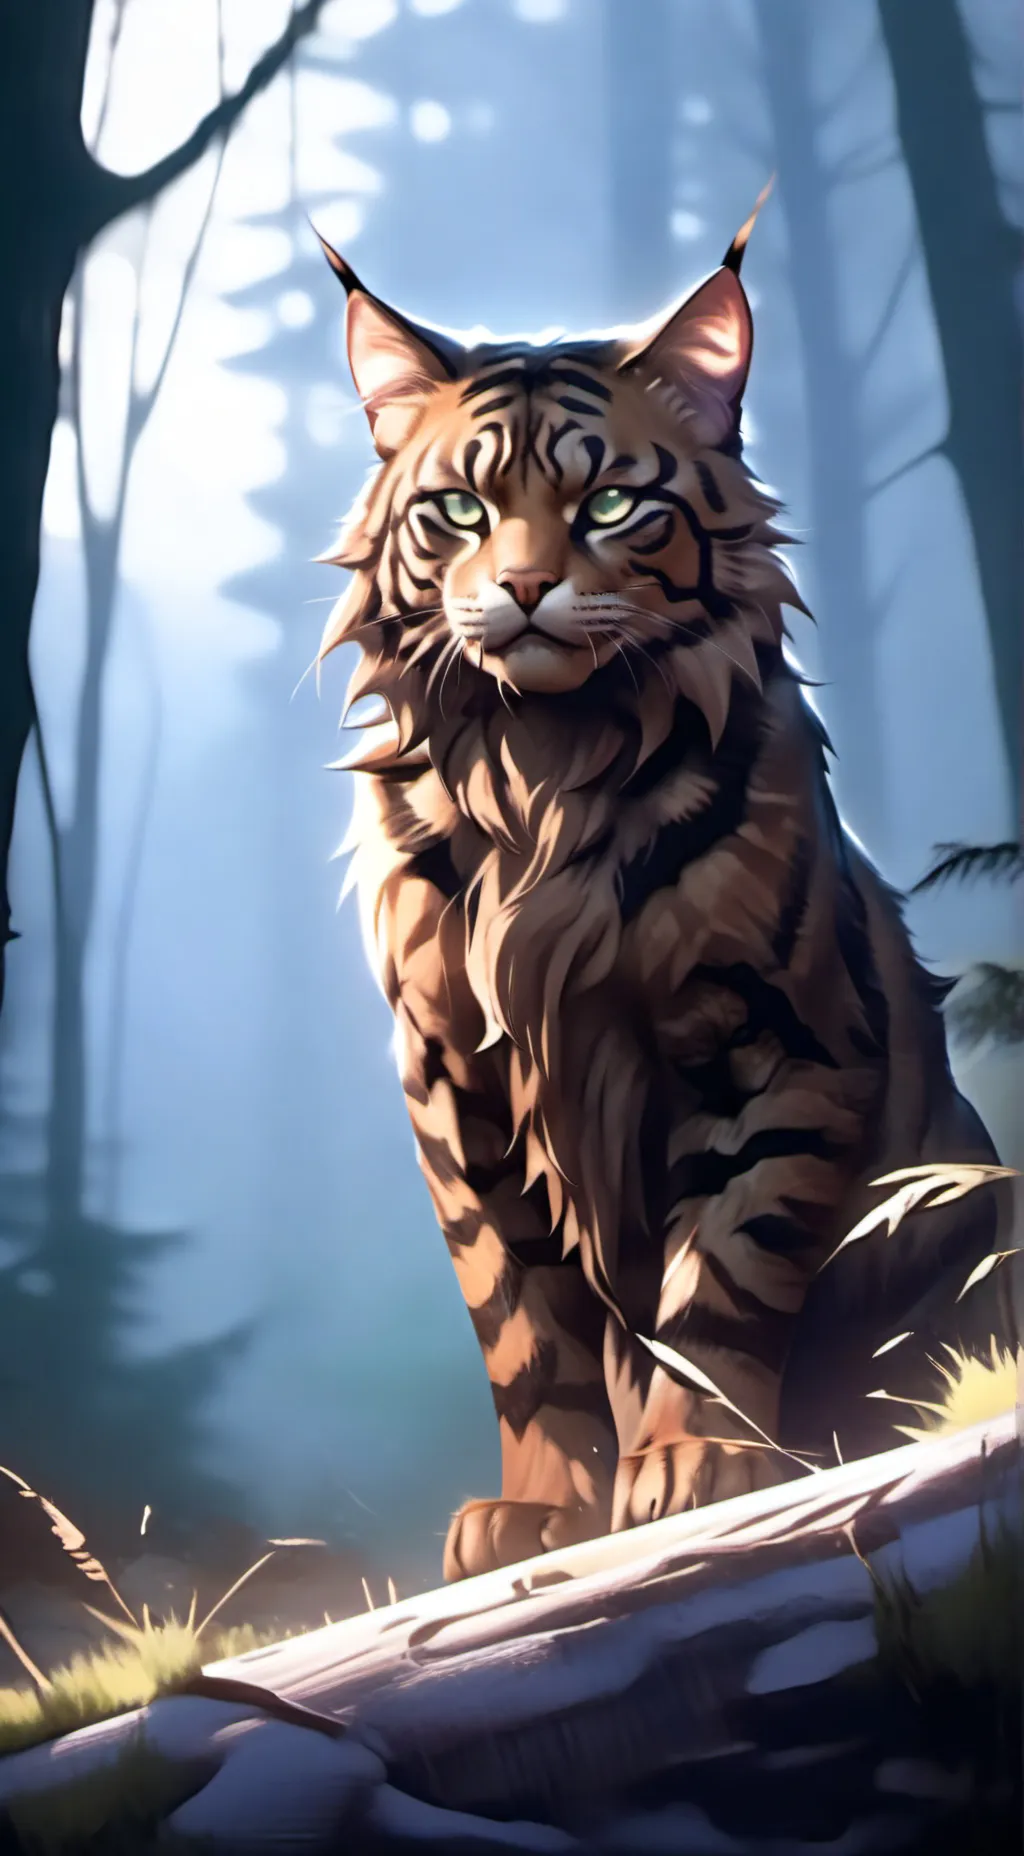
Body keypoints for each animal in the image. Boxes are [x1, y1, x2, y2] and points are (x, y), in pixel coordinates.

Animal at [312, 200, 1016, 1582]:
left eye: (611, 502)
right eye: (460, 508)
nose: (524, 588)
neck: (543, 761)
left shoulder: (778, 1044)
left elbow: (723, 1274)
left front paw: (699, 1459)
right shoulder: (455, 1081)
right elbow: (522, 1321)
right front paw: (537, 1509)